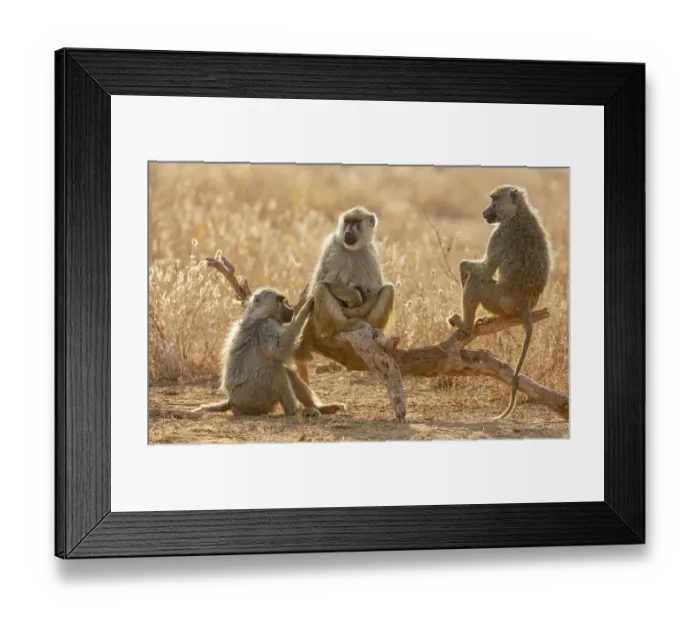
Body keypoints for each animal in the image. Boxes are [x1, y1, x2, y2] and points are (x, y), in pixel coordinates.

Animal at [194, 287, 346, 417]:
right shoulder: (266, 328)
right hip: (250, 396)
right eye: (280, 300)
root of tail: (231, 400)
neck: (260, 315)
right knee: (274, 371)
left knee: (286, 372)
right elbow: (280, 349)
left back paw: (321, 408)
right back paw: (296, 412)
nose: (291, 309)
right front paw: (306, 307)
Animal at [294, 206, 395, 377]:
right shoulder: (332, 244)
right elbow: (321, 282)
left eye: (356, 222)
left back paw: (373, 329)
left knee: (389, 290)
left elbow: (374, 290)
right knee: (320, 290)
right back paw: (346, 325)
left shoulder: (370, 251)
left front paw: (360, 304)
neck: (353, 250)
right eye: (347, 221)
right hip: (321, 323)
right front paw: (354, 297)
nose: (347, 232)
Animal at [447, 185, 552, 420]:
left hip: (498, 298)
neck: (518, 212)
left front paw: (462, 267)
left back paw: (466, 326)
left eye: (494, 201)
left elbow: (485, 270)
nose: (484, 211)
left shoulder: (500, 233)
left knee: (477, 281)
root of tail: (525, 305)